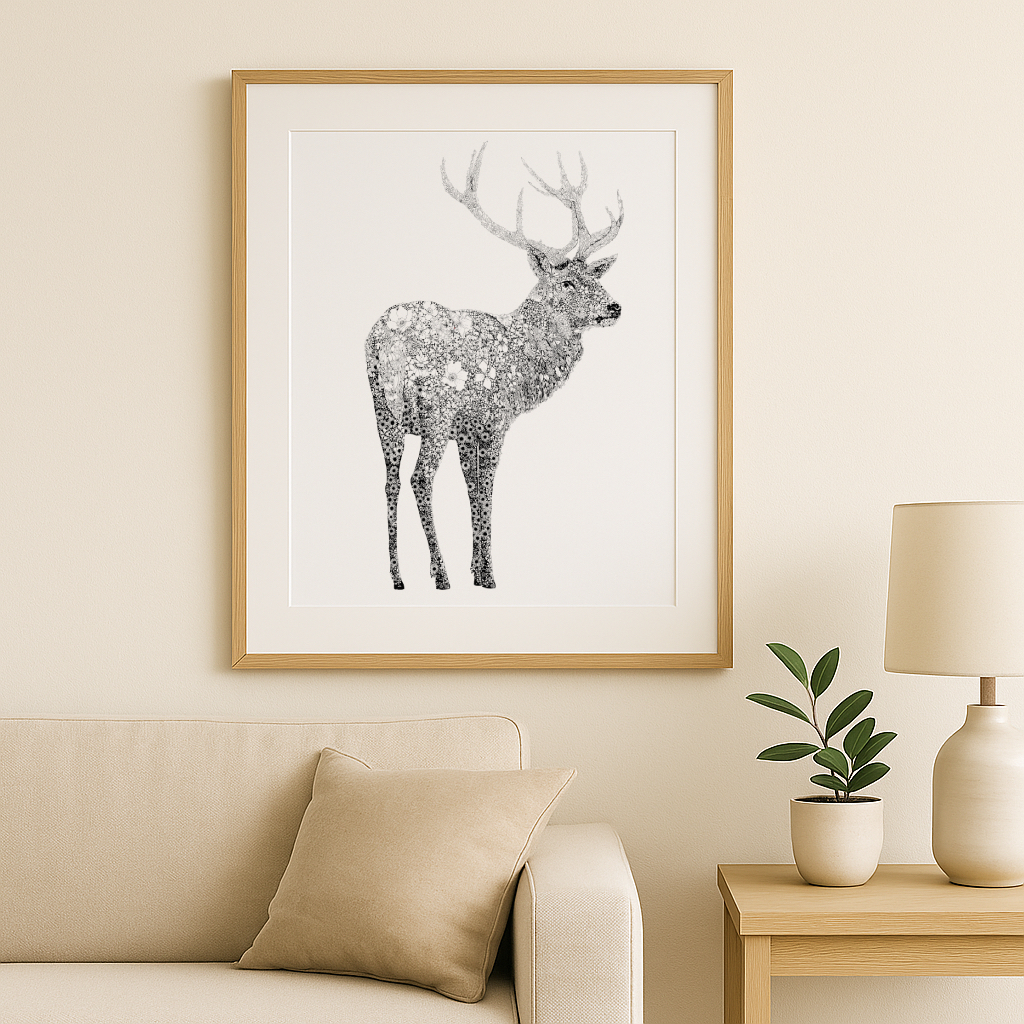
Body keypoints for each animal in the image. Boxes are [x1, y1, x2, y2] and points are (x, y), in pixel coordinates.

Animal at [365, 143, 624, 591]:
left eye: (595, 277)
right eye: (567, 282)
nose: (614, 307)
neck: (523, 368)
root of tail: (386, 340)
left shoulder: (466, 431)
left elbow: (471, 488)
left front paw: (476, 566)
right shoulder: (493, 420)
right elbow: (486, 488)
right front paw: (486, 575)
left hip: (382, 410)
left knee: (390, 481)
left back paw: (397, 577)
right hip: (436, 410)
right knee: (420, 478)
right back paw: (440, 575)